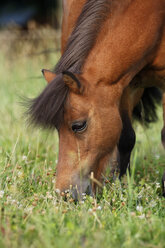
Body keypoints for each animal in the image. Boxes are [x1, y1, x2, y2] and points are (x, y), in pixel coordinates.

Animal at [25, 0, 165, 198]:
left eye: (78, 125)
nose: (64, 193)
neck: (153, 21)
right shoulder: (123, 86)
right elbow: (125, 137)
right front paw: (119, 184)